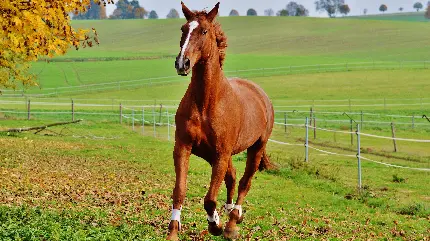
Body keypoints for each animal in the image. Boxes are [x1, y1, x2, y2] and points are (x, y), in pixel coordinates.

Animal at [166, 1, 274, 239]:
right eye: (183, 29)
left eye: (204, 31)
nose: (182, 63)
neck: (206, 103)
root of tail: (262, 95)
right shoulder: (184, 147)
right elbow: (180, 191)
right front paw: (173, 232)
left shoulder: (221, 154)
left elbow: (209, 199)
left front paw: (215, 224)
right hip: (219, 155)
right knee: (232, 178)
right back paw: (229, 212)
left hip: (255, 148)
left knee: (244, 182)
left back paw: (232, 222)